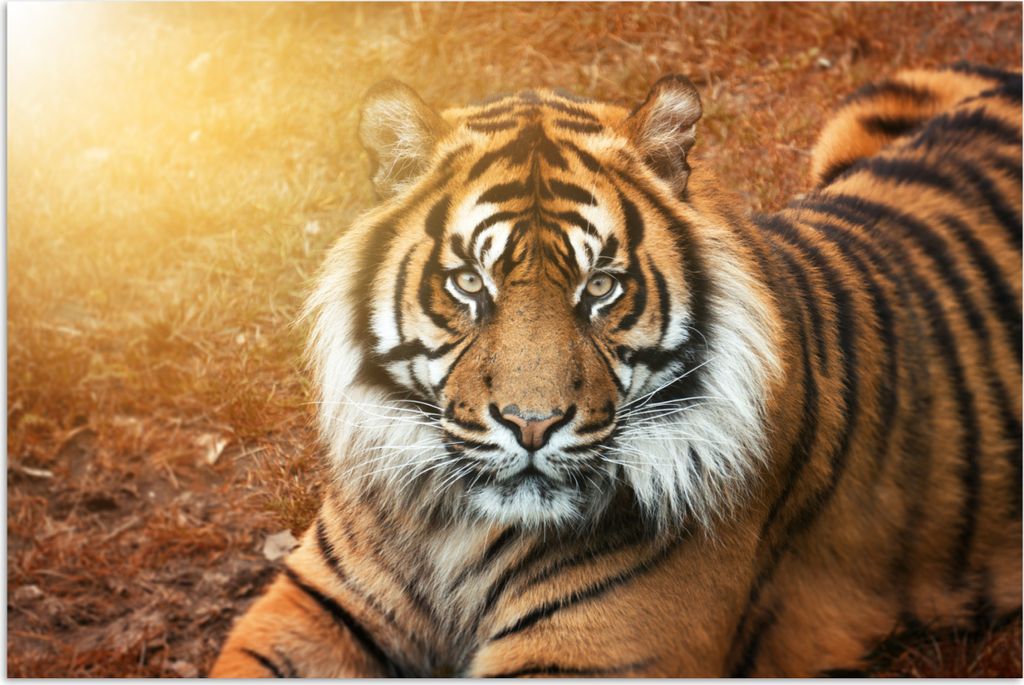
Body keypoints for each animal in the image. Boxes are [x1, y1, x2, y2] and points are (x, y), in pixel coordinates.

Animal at [211, 63, 1022, 677]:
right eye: (470, 283)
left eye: (599, 286)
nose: (531, 426)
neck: (456, 527)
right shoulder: (313, 602)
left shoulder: (593, 653)